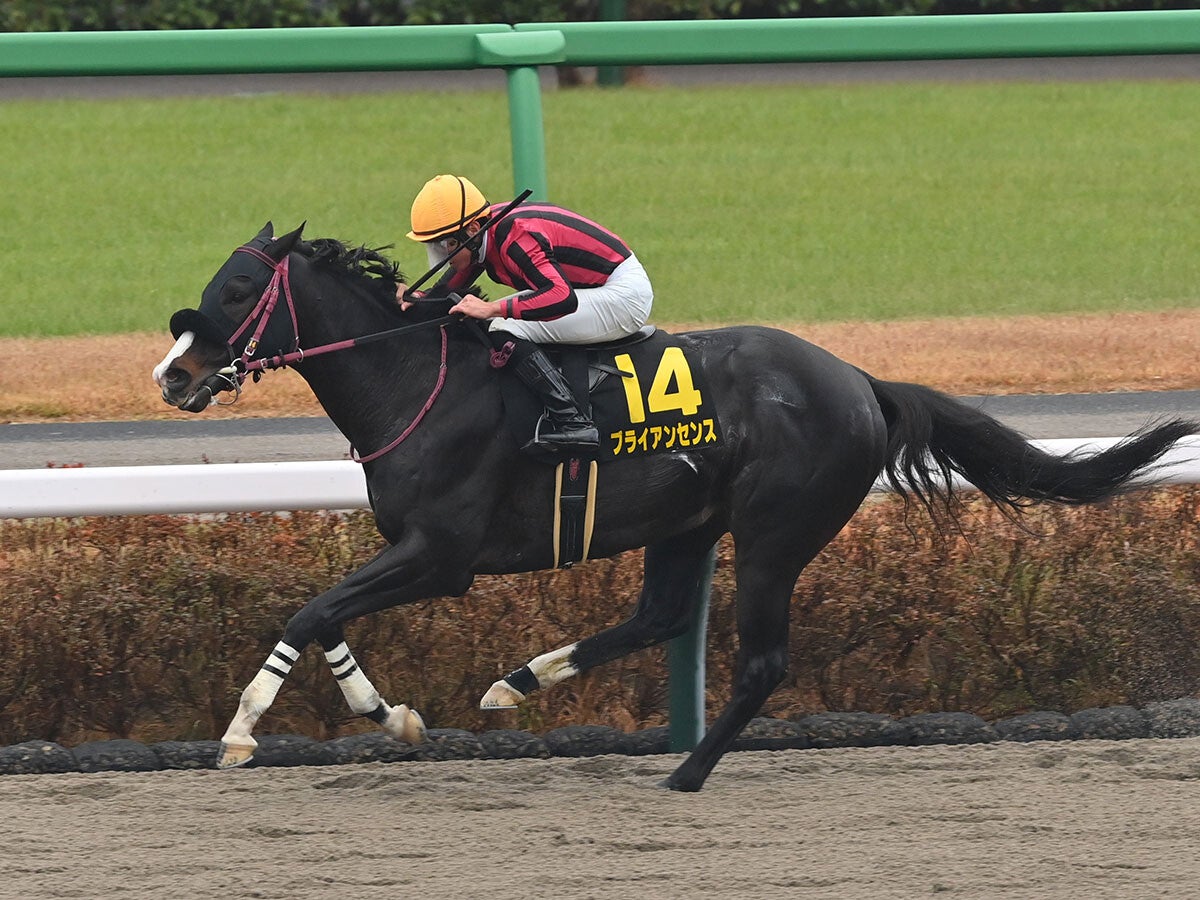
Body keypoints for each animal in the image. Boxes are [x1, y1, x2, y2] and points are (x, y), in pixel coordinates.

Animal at [154, 222, 1197, 791]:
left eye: (238, 290)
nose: (173, 375)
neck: (415, 376)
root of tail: (860, 380)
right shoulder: (413, 550)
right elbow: (327, 617)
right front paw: (392, 717)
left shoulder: (441, 554)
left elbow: (311, 610)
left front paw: (243, 734)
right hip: (688, 525)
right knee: (657, 616)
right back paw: (518, 682)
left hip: (775, 533)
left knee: (761, 661)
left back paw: (683, 768)